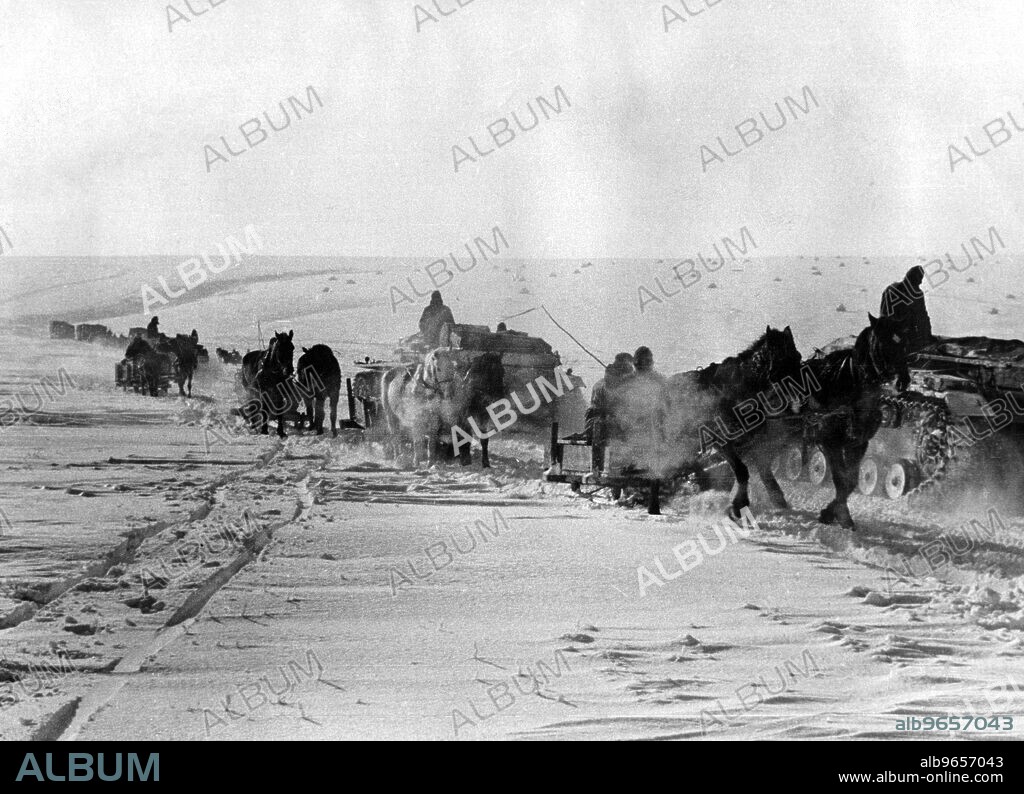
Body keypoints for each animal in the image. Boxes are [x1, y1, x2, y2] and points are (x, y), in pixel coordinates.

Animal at [663, 323, 806, 522]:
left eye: (798, 356)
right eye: (781, 360)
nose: (802, 398)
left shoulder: (754, 442)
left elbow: (763, 471)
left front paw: (779, 501)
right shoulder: (722, 442)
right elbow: (742, 471)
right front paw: (738, 505)